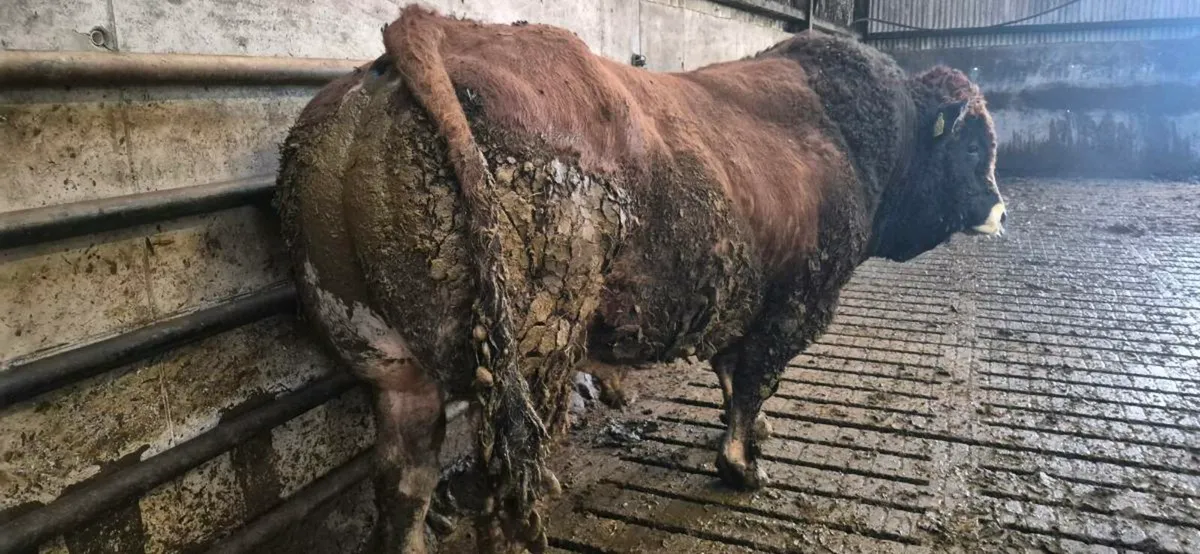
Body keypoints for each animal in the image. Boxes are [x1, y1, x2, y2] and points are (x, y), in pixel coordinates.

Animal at [274, 6, 1005, 553]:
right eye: (976, 147)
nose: (999, 208)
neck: (857, 140)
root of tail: (430, 32)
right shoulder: (797, 301)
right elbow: (754, 378)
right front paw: (743, 465)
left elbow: (733, 373)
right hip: (532, 366)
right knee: (507, 496)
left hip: (391, 367)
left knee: (405, 486)